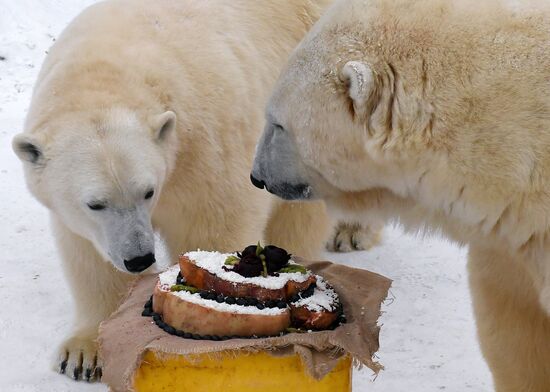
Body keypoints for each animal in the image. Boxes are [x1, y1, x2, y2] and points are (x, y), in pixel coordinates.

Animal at [9, 0, 354, 382]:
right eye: (94, 204)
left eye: (148, 191)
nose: (139, 258)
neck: (109, 73)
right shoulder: (88, 222)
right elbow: (90, 259)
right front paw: (85, 354)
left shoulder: (204, 149)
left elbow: (211, 228)